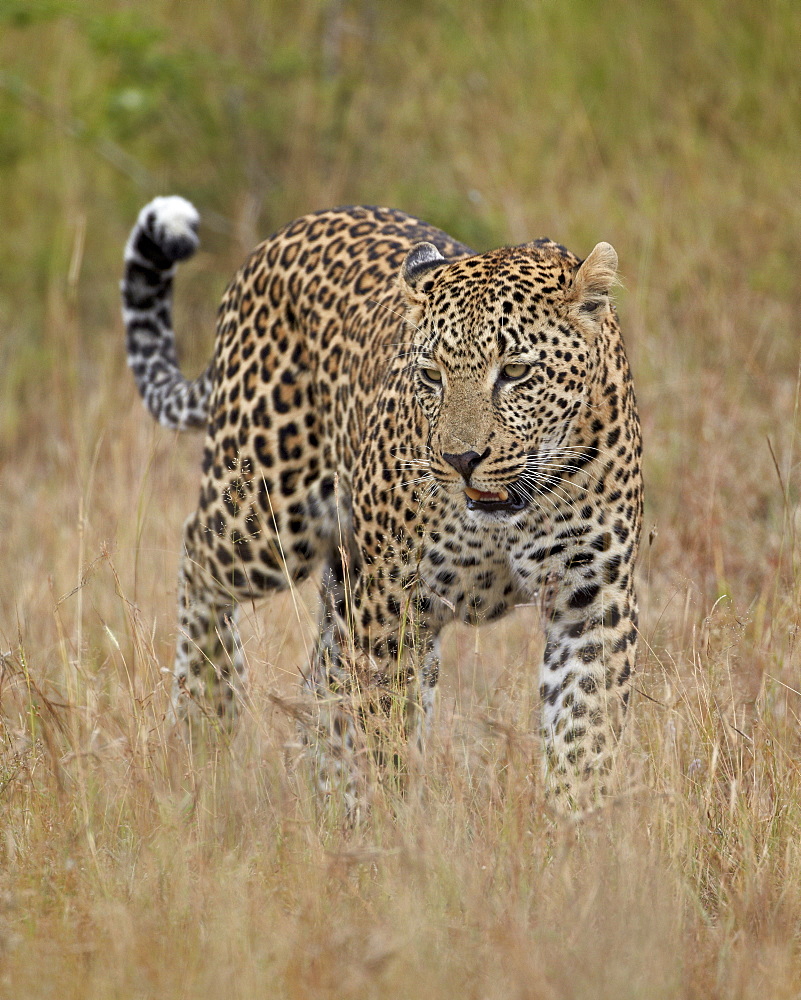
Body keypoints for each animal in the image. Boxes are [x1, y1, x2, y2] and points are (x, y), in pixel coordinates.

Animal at [120, 195, 644, 812]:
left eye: (516, 371)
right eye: (432, 375)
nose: (461, 458)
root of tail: (282, 236)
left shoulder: (591, 601)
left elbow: (584, 735)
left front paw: (577, 827)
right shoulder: (395, 605)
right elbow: (387, 732)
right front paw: (395, 825)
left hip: (343, 575)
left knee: (323, 678)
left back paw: (324, 794)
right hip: (267, 518)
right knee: (199, 561)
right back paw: (207, 715)